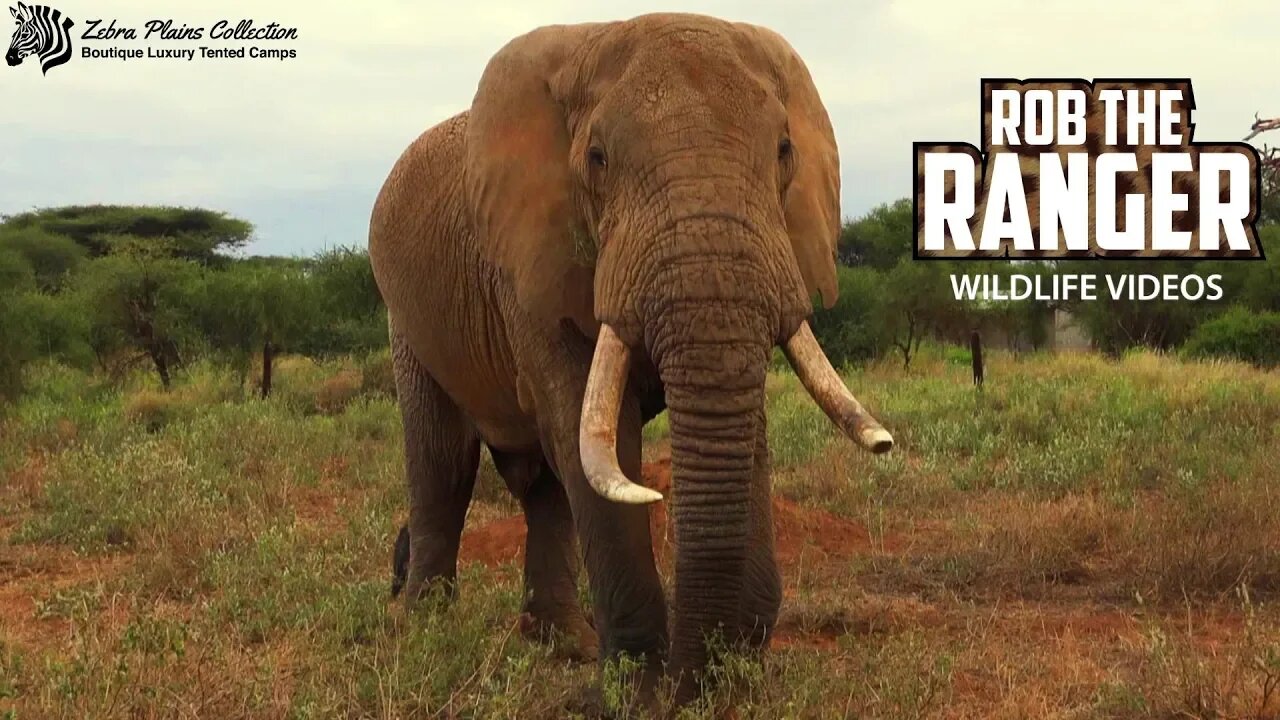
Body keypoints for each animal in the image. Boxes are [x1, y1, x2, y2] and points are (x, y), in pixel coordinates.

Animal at [366, 14, 896, 702]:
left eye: (784, 150)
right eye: (597, 159)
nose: (701, 683)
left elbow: (743, 432)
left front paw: (730, 680)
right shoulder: (530, 264)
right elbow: (597, 436)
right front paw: (639, 694)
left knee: (544, 487)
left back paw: (567, 645)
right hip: (408, 316)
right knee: (444, 463)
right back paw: (425, 632)